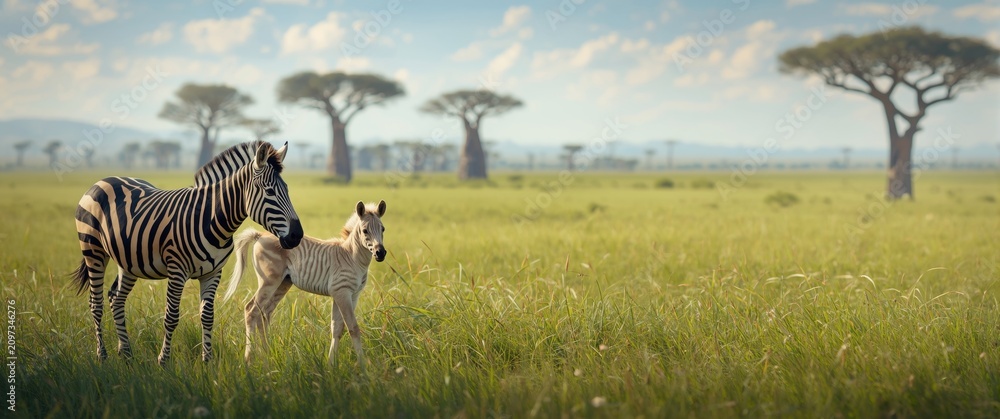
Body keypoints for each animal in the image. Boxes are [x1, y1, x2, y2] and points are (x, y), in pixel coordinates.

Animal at [72, 141, 304, 365]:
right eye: (270, 192)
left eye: (287, 189)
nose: (297, 235)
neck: (212, 221)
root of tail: (103, 180)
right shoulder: (177, 271)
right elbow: (171, 317)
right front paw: (163, 361)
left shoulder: (213, 273)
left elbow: (208, 316)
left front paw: (207, 361)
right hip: (93, 250)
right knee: (96, 303)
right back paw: (102, 355)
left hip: (128, 260)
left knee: (116, 298)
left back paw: (126, 353)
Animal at [224, 200, 387, 371]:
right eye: (365, 230)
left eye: (383, 229)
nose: (380, 253)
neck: (352, 257)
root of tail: (260, 235)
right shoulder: (342, 292)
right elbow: (353, 328)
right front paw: (363, 367)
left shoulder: (351, 294)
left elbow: (337, 329)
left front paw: (331, 366)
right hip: (268, 281)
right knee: (251, 310)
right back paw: (249, 360)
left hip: (282, 283)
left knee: (265, 314)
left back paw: (267, 358)